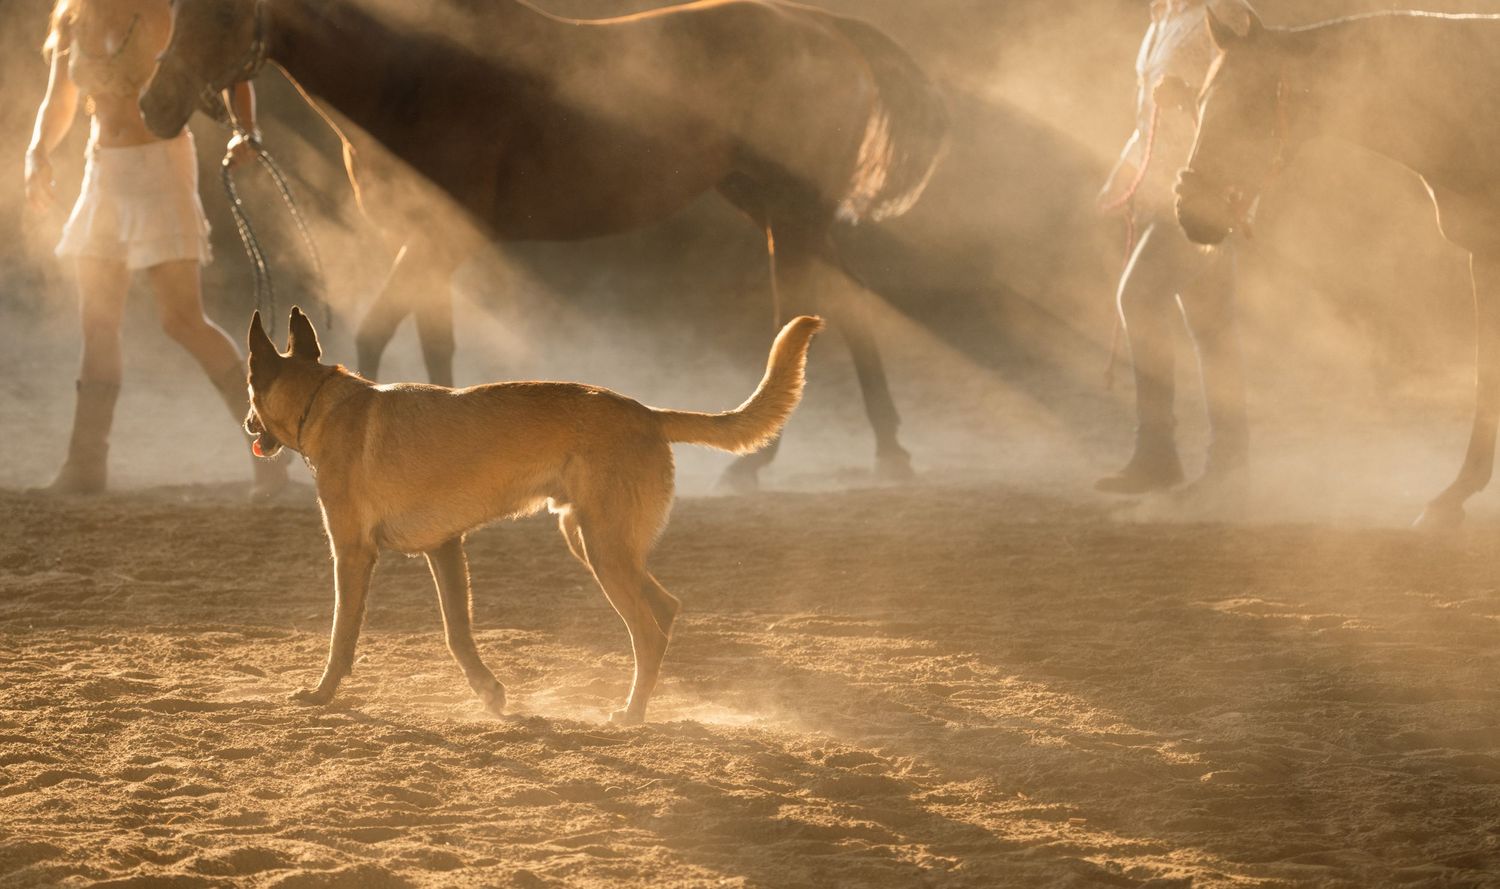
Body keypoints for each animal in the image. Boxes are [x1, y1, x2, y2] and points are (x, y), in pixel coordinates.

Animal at [140, 0, 949, 491]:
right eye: (174, 10)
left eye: (223, 11)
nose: (152, 106)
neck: (414, 76)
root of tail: (825, 31)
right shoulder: (427, 242)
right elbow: (432, 345)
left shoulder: (442, 238)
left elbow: (381, 337)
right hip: (778, 208)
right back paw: (888, 452)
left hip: (795, 209)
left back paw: (778, 463)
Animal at [1175, 7, 1500, 528]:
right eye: (1203, 100)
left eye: (1250, 106)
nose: (1191, 212)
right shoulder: (1483, 257)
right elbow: (1485, 377)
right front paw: (1455, 495)